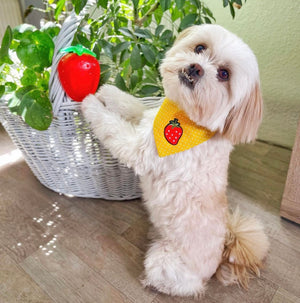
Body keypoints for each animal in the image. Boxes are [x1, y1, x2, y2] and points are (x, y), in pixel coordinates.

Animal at [81, 25, 270, 298]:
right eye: (200, 48)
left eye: (224, 74)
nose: (196, 68)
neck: (184, 117)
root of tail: (222, 257)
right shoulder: (147, 118)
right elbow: (131, 105)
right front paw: (109, 92)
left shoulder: (137, 149)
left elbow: (110, 124)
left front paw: (91, 103)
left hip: (165, 262)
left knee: (181, 285)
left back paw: (153, 282)